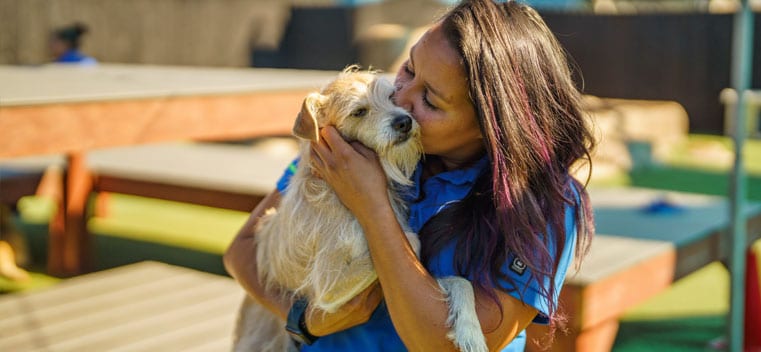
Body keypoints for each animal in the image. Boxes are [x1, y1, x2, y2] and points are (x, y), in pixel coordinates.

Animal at [232, 66, 486, 352]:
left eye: (392, 97)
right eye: (359, 112)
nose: (404, 121)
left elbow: (459, 281)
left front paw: (470, 331)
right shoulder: (329, 287)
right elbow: (413, 239)